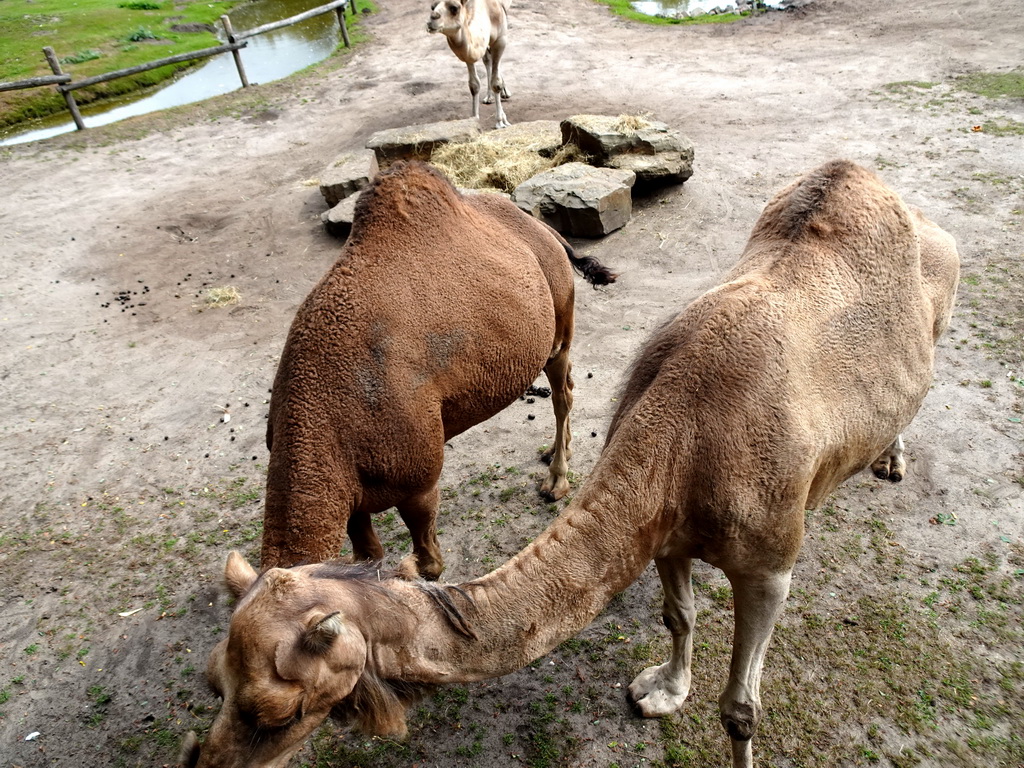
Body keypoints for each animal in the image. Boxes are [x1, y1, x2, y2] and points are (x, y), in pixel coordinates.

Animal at [260, 163, 610, 581]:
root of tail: (543, 229)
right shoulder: (351, 496)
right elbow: (368, 553)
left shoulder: (419, 481)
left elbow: (429, 563)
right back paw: (557, 451)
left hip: (558, 321)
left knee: (562, 392)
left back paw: (556, 480)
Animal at [425, 0, 509, 129]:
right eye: (432, 7)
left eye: (454, 8)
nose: (432, 18)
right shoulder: (468, 51)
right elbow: (474, 85)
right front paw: (474, 119)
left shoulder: (501, 39)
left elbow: (496, 83)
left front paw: (500, 122)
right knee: (487, 58)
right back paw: (489, 97)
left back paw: (505, 93)